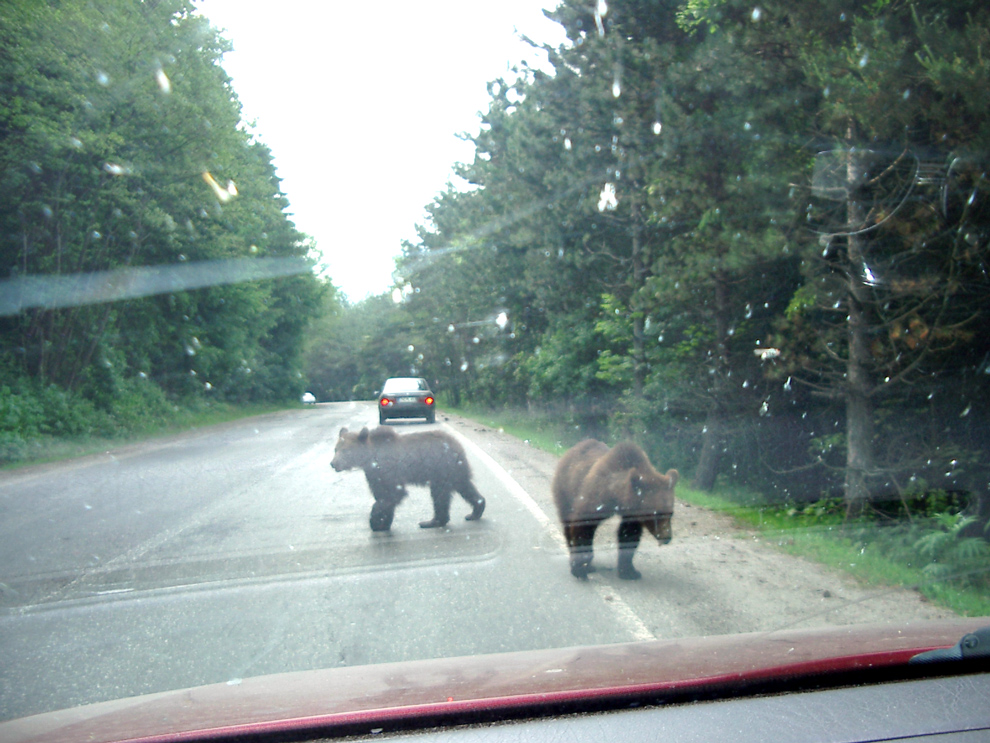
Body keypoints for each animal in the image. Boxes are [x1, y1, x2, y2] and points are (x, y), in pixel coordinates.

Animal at [334, 424, 488, 536]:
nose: (333, 463)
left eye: (346, 451)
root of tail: (457, 445)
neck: (370, 458)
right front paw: (383, 523)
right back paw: (474, 511)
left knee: (440, 494)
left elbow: (393, 494)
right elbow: (382, 494)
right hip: (454, 471)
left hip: (442, 468)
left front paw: (375, 522)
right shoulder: (374, 474)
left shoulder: (389, 470)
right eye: (335, 449)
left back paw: (432, 521)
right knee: (464, 486)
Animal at [552, 442, 680, 580]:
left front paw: (629, 571)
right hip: (566, 490)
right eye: (656, 513)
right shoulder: (596, 496)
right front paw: (580, 568)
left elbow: (628, 534)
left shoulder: (631, 514)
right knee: (567, 521)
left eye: (671, 513)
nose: (667, 537)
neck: (617, 497)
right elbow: (583, 526)